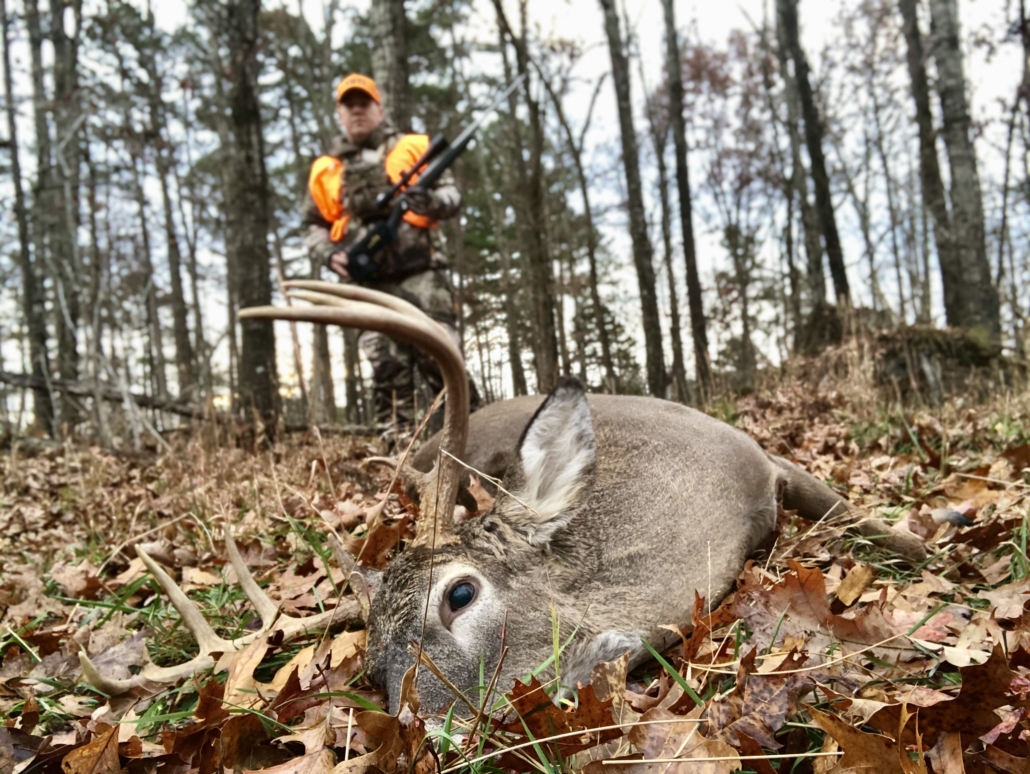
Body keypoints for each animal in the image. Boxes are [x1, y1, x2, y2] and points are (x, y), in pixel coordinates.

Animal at [82, 284, 927, 725]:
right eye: (373, 669)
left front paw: (932, 533)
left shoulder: (765, 456)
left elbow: (866, 517)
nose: (431, 730)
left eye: (460, 594)